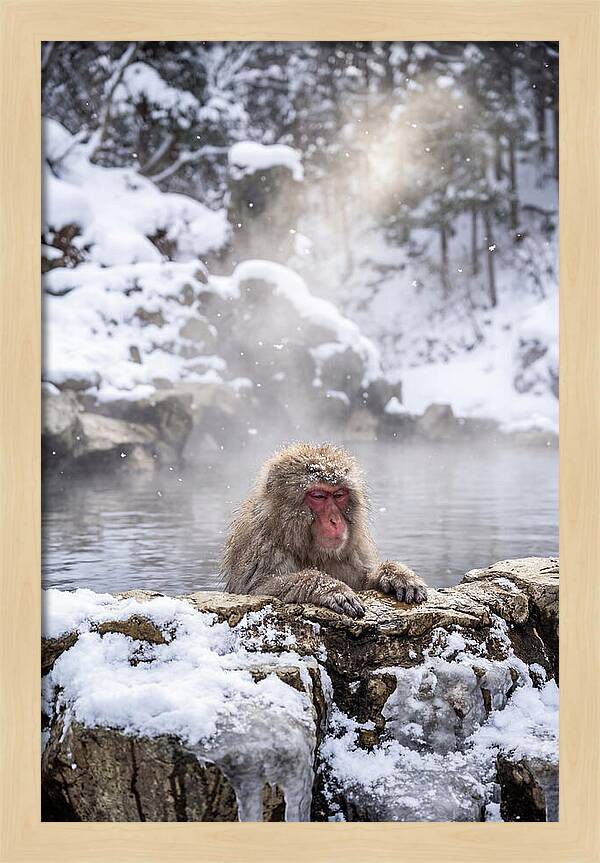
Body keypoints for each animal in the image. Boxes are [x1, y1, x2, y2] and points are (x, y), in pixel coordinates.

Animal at [222, 442, 427, 618]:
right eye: (319, 496)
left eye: (339, 495)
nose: (335, 520)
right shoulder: (260, 545)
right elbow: (257, 590)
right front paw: (330, 588)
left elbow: (363, 581)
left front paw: (395, 574)